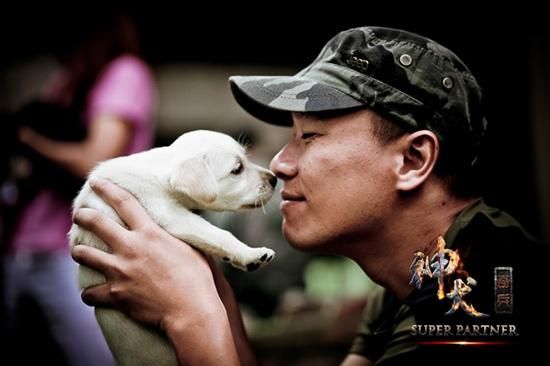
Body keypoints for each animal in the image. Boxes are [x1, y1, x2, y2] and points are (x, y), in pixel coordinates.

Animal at [70, 130, 276, 366]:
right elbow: (220, 234)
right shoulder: (171, 215)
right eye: (237, 169)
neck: (162, 171)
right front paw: (251, 254)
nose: (274, 179)